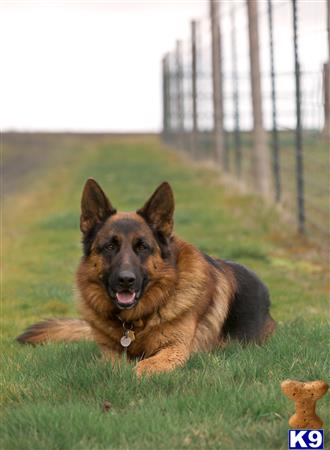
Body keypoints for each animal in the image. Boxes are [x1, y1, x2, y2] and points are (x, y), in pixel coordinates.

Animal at [18, 179, 276, 376]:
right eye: (109, 246)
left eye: (142, 247)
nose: (126, 280)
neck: (135, 323)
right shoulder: (109, 353)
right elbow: (112, 364)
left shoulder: (176, 349)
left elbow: (144, 366)